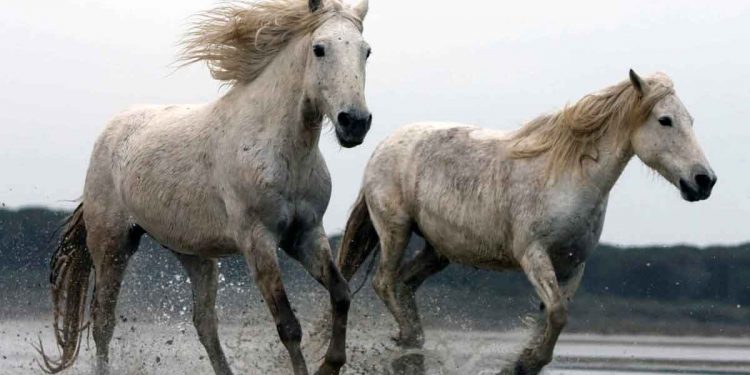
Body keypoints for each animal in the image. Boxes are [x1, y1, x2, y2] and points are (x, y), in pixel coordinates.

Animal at [38, 1, 374, 374]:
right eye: (319, 49)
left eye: (366, 51)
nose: (355, 122)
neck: (277, 148)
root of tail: (111, 131)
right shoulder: (257, 240)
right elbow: (288, 326)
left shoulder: (306, 234)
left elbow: (341, 294)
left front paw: (331, 363)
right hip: (112, 244)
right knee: (103, 321)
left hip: (193, 255)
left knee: (204, 324)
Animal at [338, 71, 720, 375]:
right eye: (665, 120)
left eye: (690, 120)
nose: (704, 181)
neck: (570, 178)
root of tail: (382, 147)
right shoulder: (533, 254)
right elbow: (557, 312)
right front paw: (523, 364)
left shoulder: (572, 266)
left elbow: (552, 316)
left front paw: (524, 363)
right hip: (395, 229)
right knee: (385, 282)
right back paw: (410, 338)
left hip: (438, 250)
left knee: (404, 285)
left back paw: (413, 348)